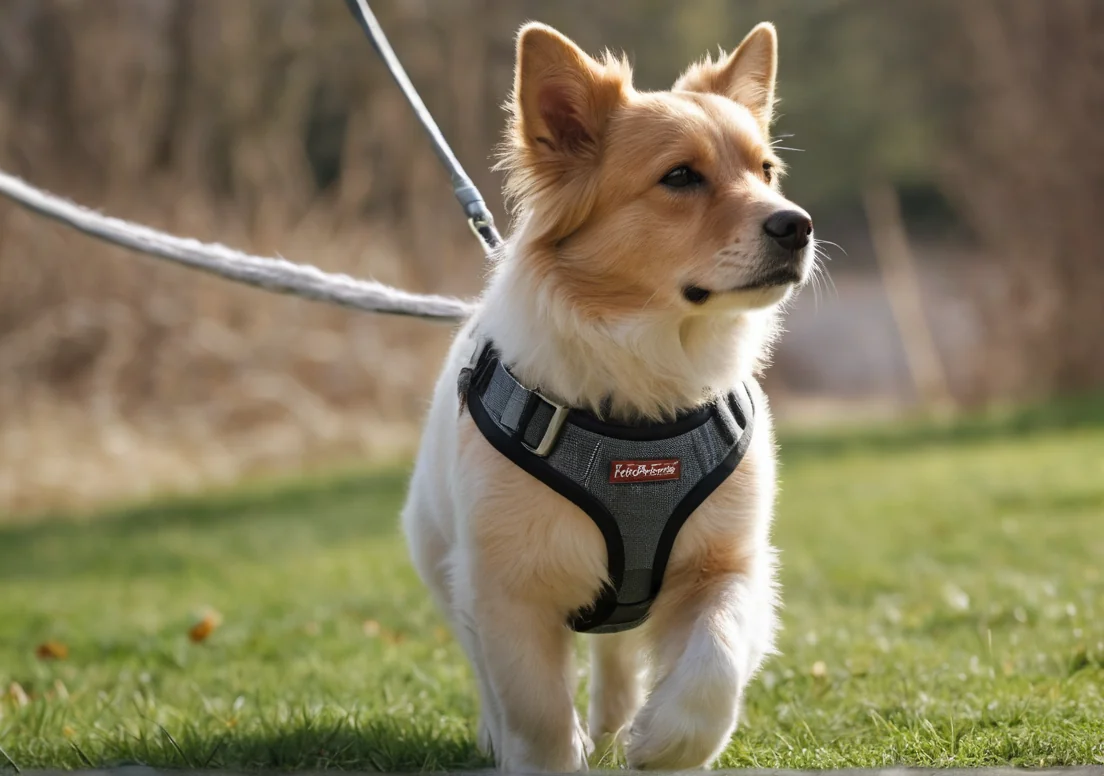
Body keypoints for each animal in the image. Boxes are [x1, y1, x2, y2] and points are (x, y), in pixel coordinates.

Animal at [401, 21, 816, 772]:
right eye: (680, 177)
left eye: (766, 172)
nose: (797, 224)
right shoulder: (507, 591)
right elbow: (534, 711)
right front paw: (546, 755)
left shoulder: (729, 564)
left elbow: (715, 664)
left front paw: (668, 742)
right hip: (443, 562)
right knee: (486, 672)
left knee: (620, 657)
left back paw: (618, 728)